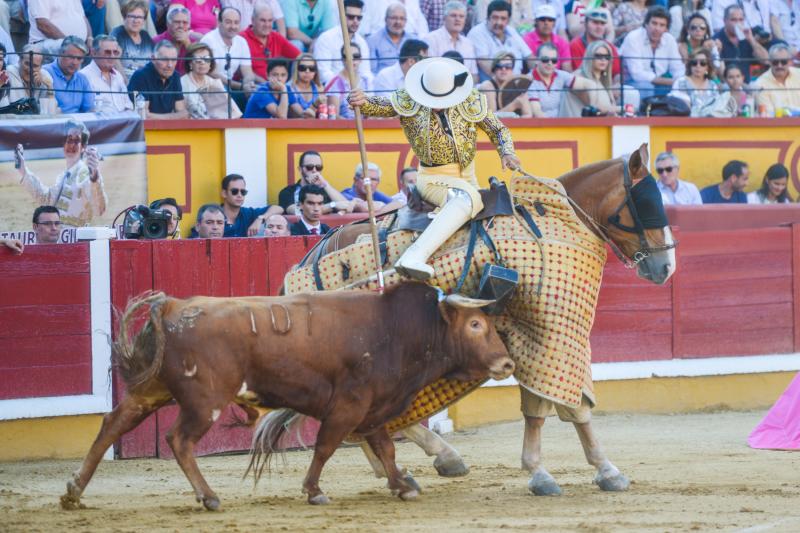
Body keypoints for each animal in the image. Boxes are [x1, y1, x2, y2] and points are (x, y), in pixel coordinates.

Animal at [61, 280, 512, 510]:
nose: (507, 364)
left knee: (112, 424)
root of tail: (173, 306)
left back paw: (74, 492)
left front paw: (403, 484)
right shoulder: (349, 406)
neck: (399, 328)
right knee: (179, 440)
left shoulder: (373, 410)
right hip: (205, 402)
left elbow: (385, 449)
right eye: (475, 325)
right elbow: (326, 447)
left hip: (150, 392)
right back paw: (209, 497)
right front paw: (314, 491)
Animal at [282, 142, 676, 494]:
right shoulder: (552, 336)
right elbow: (557, 405)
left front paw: (603, 470)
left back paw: (422, 465)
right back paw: (425, 463)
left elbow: (565, 405)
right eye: (647, 202)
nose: (667, 267)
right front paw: (548, 473)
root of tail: (310, 256)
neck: (554, 218)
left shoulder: (553, 339)